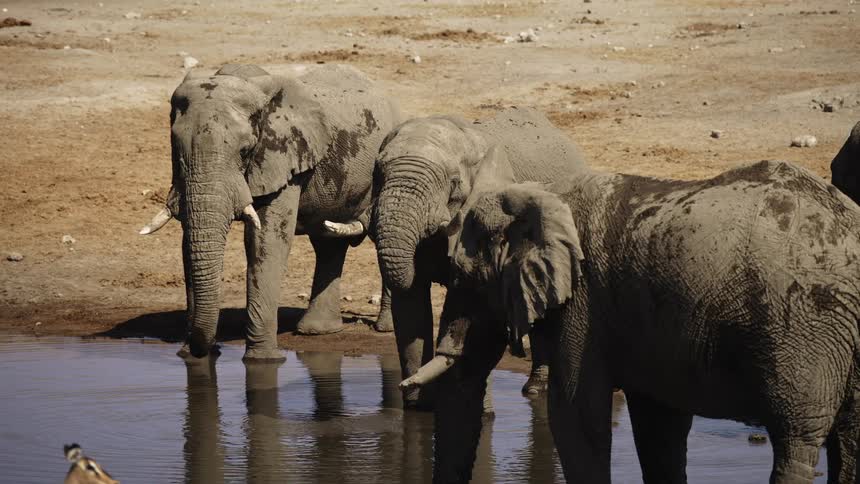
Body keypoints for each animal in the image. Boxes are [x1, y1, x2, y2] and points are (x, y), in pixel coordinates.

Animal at [140, 63, 402, 361]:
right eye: (175, 148)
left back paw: (384, 329)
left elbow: (266, 241)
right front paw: (191, 356)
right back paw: (317, 331)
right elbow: (188, 245)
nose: (206, 349)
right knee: (328, 244)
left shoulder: (282, 157)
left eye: (245, 151)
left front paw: (262, 360)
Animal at [407, 159, 860, 483]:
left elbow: (575, 415)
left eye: (462, 279)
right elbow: (659, 428)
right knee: (850, 439)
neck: (540, 195)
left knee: (796, 441)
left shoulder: (585, 304)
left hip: (804, 324)